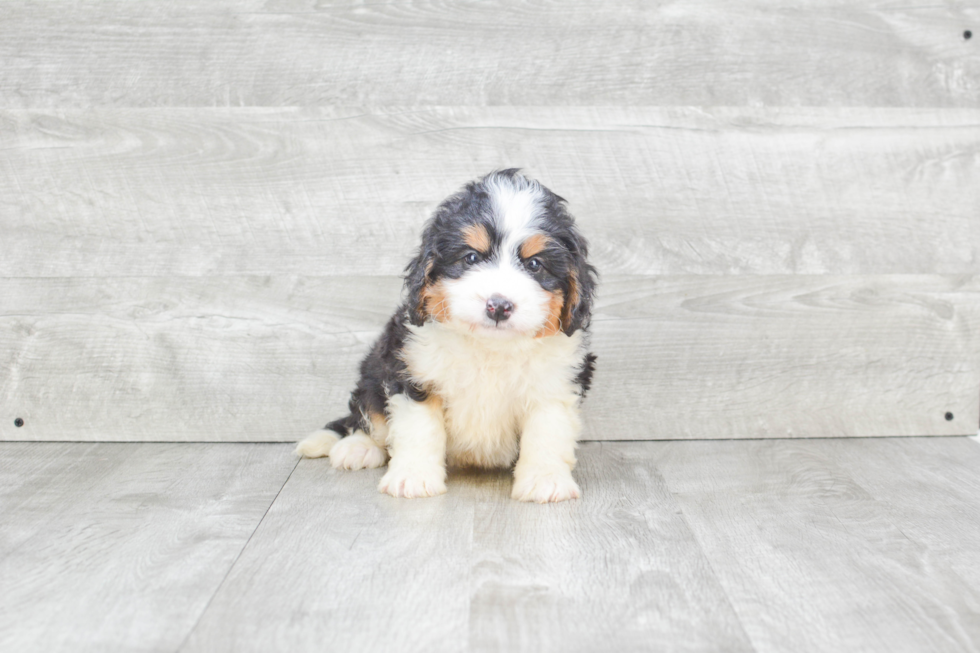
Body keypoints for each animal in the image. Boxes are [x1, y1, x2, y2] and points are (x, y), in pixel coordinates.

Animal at [292, 169, 596, 504]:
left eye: (534, 264)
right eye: (471, 258)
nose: (499, 306)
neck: (489, 348)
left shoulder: (554, 386)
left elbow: (547, 433)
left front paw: (545, 480)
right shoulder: (414, 373)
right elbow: (419, 429)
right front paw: (412, 477)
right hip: (373, 371)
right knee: (368, 415)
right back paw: (357, 447)